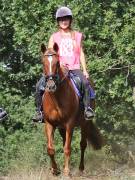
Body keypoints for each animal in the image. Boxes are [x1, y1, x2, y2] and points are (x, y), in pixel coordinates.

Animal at [40, 43, 102, 176]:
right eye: (43, 62)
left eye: (57, 62)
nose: (51, 86)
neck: (56, 98)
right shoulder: (49, 123)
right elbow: (50, 149)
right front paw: (55, 170)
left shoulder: (70, 124)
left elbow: (67, 148)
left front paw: (67, 172)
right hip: (61, 128)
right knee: (65, 142)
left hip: (84, 124)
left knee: (82, 144)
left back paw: (81, 169)